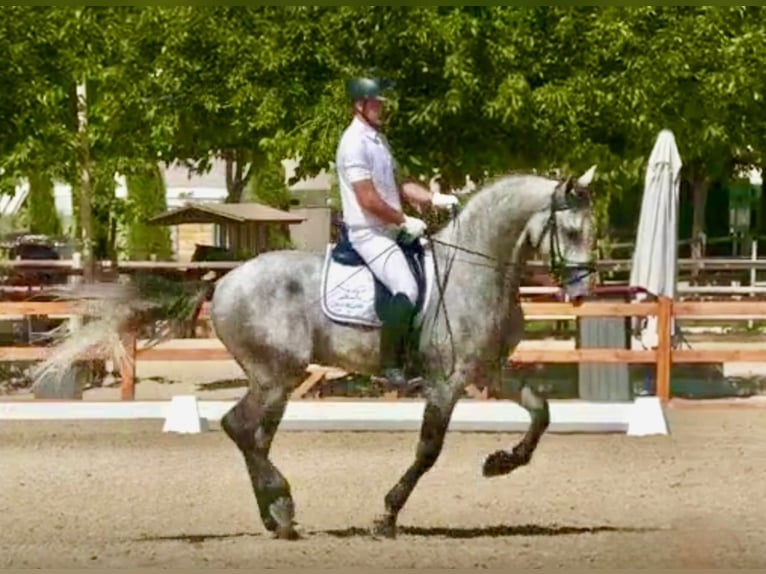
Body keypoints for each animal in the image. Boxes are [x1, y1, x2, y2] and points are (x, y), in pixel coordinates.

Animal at [31, 165, 600, 540]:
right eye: (571, 230)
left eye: (592, 231)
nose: (580, 292)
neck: (476, 271)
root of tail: (226, 278)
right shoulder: (447, 382)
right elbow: (428, 451)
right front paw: (386, 517)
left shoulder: (488, 372)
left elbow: (541, 412)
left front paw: (502, 462)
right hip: (275, 374)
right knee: (240, 428)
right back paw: (282, 506)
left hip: (278, 379)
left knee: (255, 435)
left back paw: (275, 514)